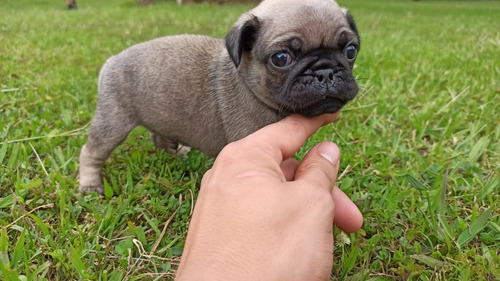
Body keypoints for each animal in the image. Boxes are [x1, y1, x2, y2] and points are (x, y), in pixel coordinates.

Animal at [78, 0, 360, 192]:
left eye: (350, 50)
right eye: (281, 58)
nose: (325, 71)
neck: (249, 85)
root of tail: (111, 61)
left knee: (157, 135)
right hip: (113, 122)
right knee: (91, 151)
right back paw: (90, 185)